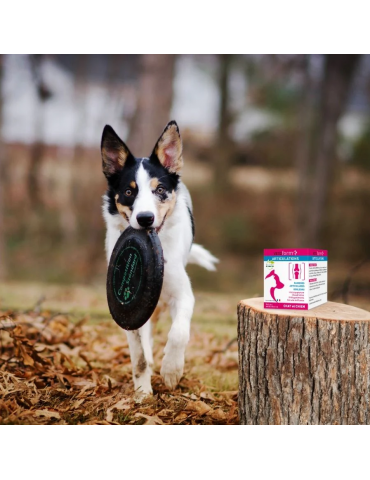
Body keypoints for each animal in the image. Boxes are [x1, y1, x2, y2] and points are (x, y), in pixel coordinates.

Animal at [101, 122, 218, 400]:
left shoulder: (183, 294)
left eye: (160, 190)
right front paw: (143, 393)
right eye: (129, 191)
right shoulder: (129, 314)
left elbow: (179, 333)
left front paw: (172, 371)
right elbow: (140, 356)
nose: (145, 218)